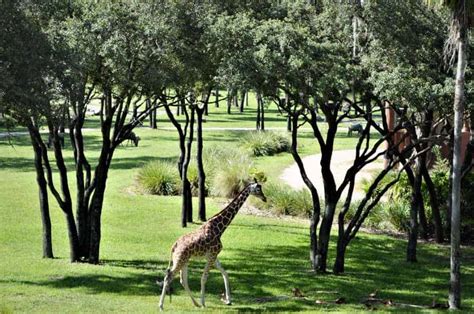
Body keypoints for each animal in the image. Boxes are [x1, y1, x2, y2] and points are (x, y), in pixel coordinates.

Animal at [157, 180, 264, 310]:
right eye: (258, 189)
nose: (264, 198)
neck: (219, 228)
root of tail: (174, 245)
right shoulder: (212, 256)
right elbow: (204, 278)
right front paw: (204, 303)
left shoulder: (213, 256)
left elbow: (225, 273)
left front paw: (228, 300)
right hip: (180, 260)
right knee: (169, 276)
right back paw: (161, 305)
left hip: (184, 260)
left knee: (182, 280)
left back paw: (195, 303)